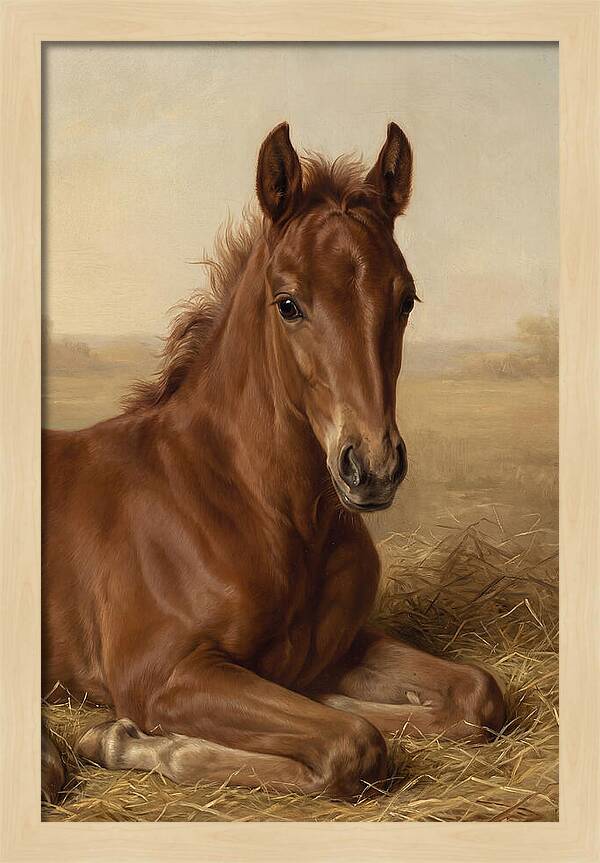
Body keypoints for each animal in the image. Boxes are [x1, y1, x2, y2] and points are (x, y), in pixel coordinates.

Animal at [42, 122, 505, 803]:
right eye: (288, 304)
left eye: (407, 300)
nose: (373, 467)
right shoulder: (161, 675)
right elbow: (352, 743)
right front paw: (126, 740)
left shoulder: (340, 646)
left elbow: (476, 695)